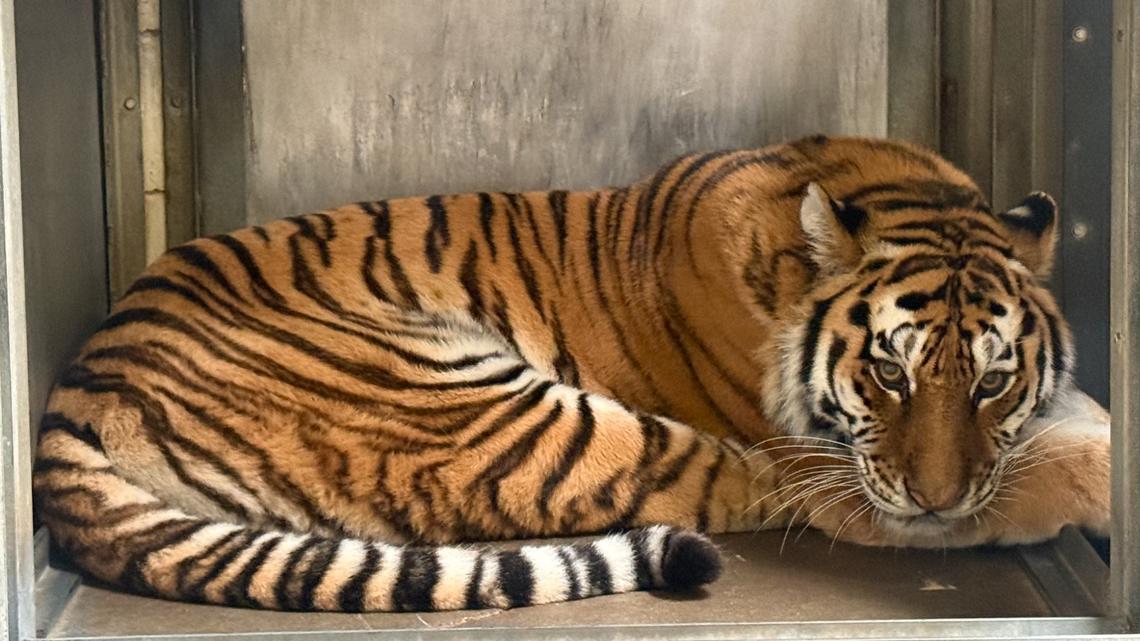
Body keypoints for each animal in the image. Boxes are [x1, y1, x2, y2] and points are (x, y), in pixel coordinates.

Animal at [33, 135, 1111, 613]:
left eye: (993, 380)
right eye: (888, 370)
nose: (933, 498)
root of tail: (82, 380)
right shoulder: (852, 475)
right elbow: (1035, 476)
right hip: (496, 409)